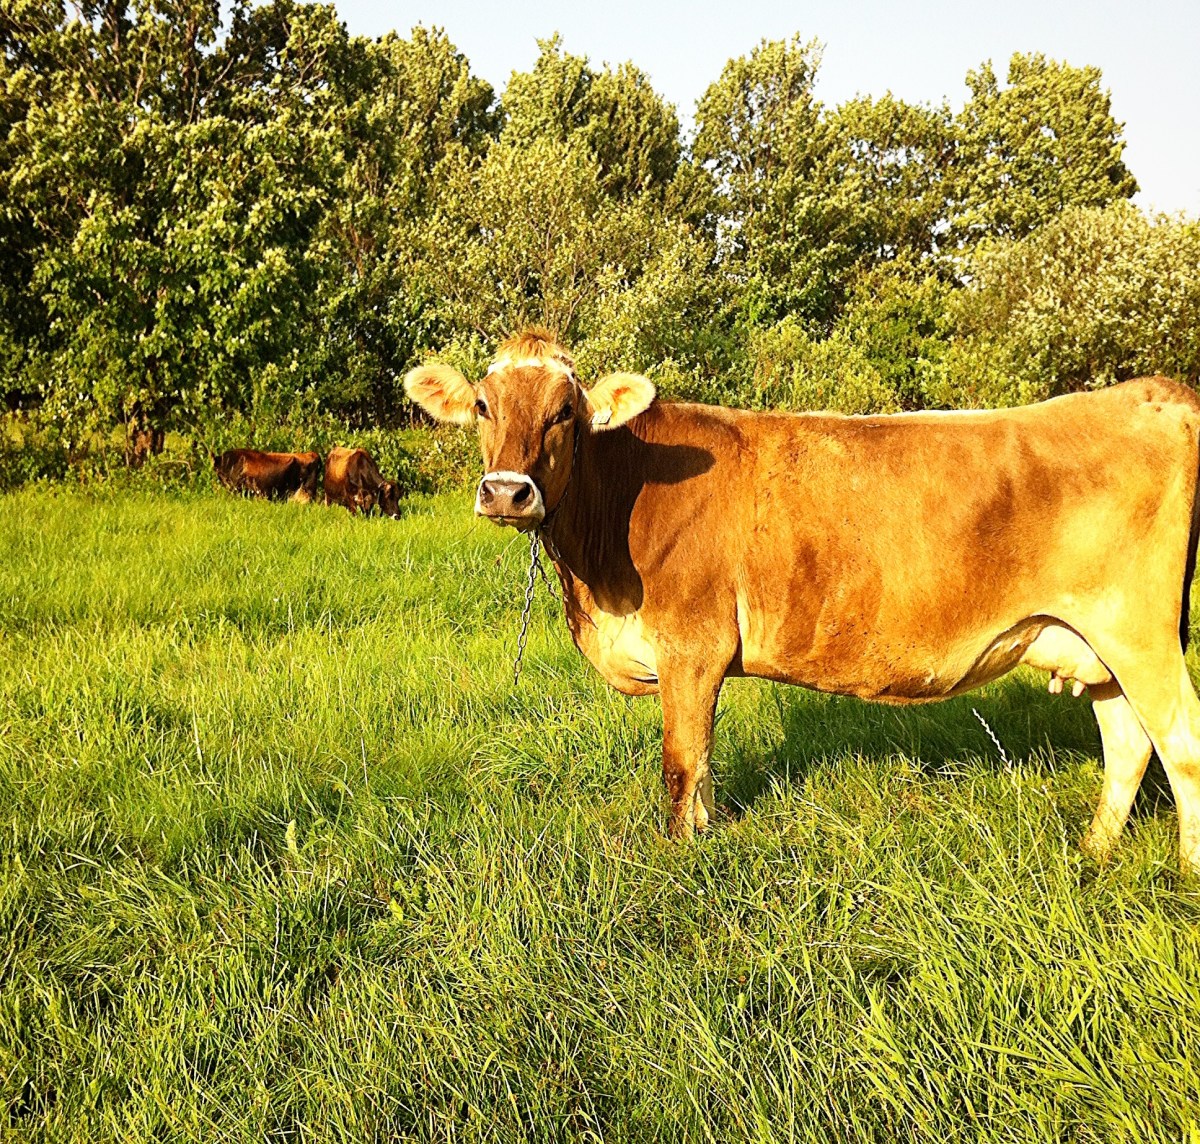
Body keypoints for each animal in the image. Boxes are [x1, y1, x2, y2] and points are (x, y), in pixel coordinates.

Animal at [404, 330, 1200, 873]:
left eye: (565, 411)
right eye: (483, 404)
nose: (508, 492)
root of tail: (1153, 392)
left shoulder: (691, 644)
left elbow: (680, 761)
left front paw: (678, 856)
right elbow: (704, 760)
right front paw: (706, 831)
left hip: (1142, 635)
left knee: (1180, 742)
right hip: (1095, 644)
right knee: (1128, 742)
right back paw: (1093, 851)